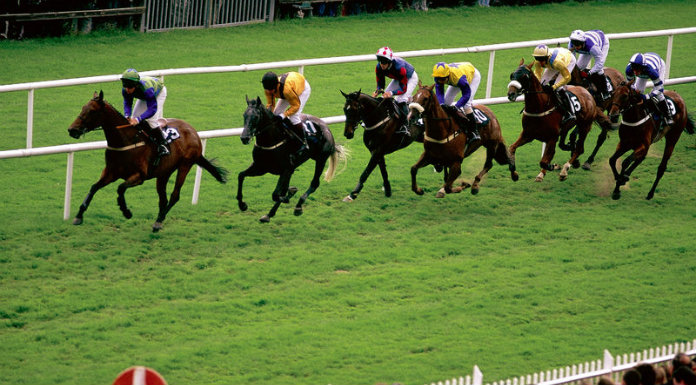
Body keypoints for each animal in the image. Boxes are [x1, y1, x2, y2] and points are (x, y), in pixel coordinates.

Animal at [67, 91, 227, 231]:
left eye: (92, 111)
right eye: (83, 107)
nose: (72, 130)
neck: (125, 141)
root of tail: (193, 132)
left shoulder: (139, 176)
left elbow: (120, 188)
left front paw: (126, 211)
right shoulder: (111, 173)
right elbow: (94, 187)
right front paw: (79, 215)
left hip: (185, 165)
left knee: (175, 195)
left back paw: (159, 221)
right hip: (164, 173)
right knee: (163, 199)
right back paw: (158, 219)